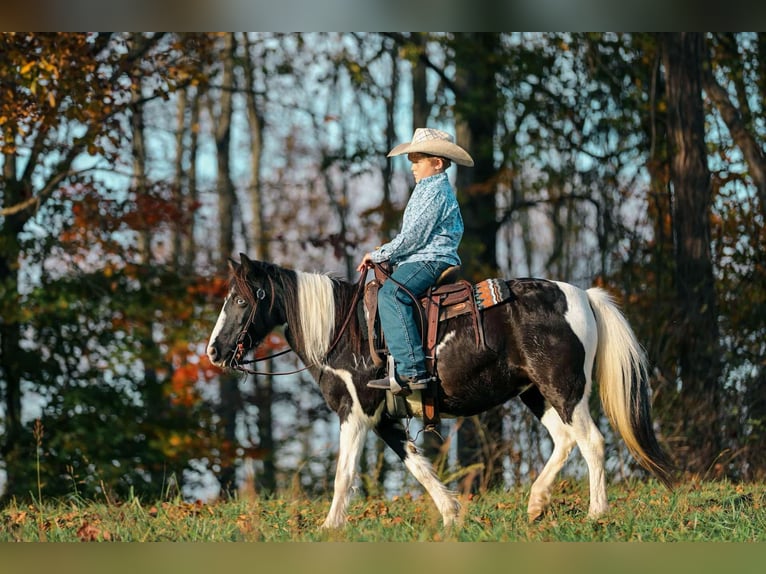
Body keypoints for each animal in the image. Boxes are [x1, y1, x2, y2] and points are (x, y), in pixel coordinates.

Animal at [206, 253, 674, 529]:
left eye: (242, 301)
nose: (214, 351)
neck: (343, 330)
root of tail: (582, 296)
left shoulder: (356, 413)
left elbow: (344, 474)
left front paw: (329, 528)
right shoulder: (385, 420)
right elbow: (417, 466)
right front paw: (452, 515)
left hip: (564, 388)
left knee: (592, 442)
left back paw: (596, 513)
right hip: (536, 392)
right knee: (564, 440)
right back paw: (536, 504)